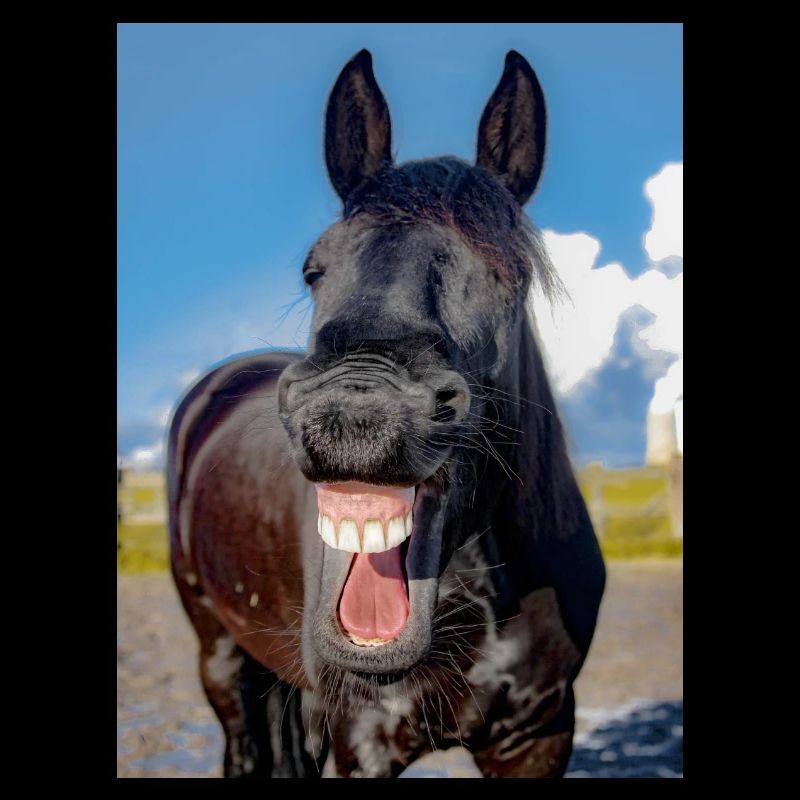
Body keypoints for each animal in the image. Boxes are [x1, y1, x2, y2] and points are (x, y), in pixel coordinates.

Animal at [167, 48, 605, 779]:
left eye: (508, 275)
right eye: (314, 268)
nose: (353, 412)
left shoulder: (539, 735)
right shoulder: (361, 740)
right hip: (220, 658)